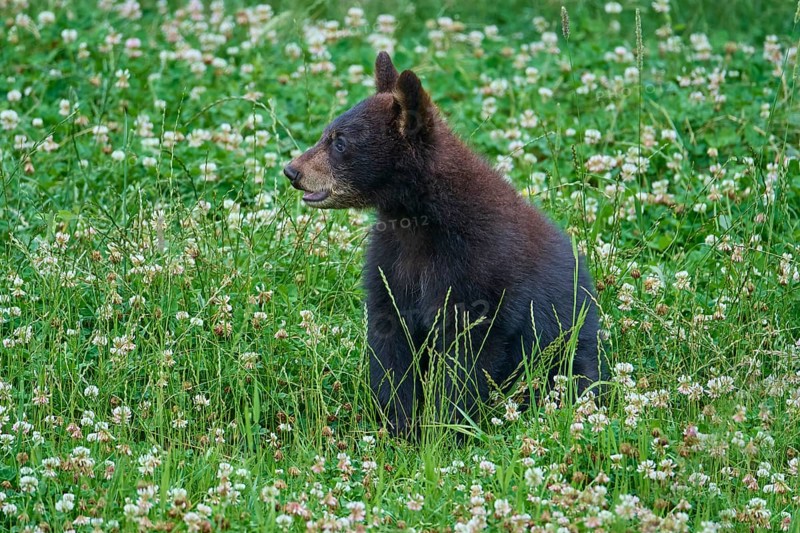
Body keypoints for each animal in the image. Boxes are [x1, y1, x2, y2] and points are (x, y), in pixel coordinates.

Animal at [284, 52, 601, 437]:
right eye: (326, 134)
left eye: (340, 142)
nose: (292, 171)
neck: (419, 221)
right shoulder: (391, 262)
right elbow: (391, 344)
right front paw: (398, 425)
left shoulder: (478, 271)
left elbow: (466, 359)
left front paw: (446, 429)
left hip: (568, 352)